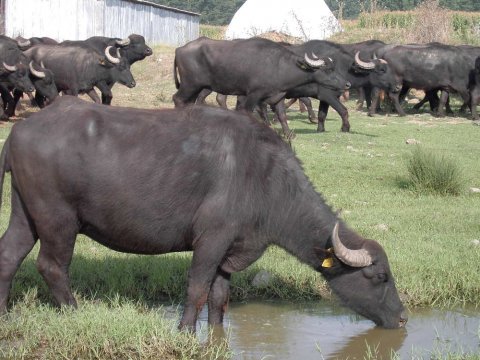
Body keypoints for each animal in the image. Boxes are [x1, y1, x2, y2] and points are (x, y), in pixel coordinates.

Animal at [0, 96, 408, 332]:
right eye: (380, 276)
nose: (403, 316)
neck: (266, 179)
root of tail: (21, 130)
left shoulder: (231, 251)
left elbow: (219, 297)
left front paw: (215, 334)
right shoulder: (211, 240)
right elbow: (196, 289)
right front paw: (184, 332)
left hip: (25, 214)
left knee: (9, 256)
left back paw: (4, 313)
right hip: (58, 220)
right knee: (52, 266)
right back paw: (74, 312)